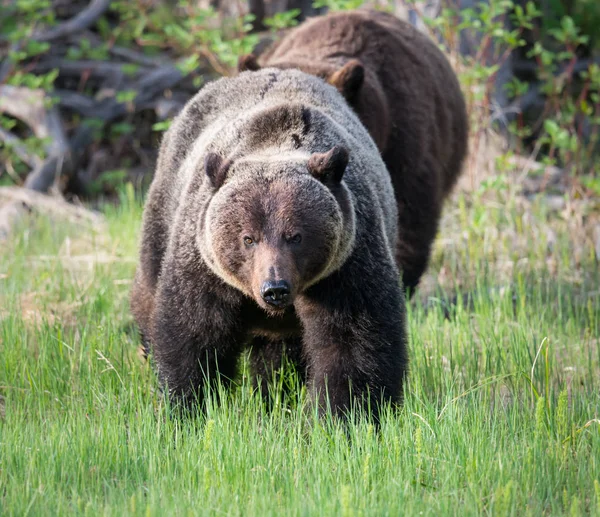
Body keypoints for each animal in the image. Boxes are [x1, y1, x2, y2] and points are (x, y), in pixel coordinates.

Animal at [131, 67, 408, 420]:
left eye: (296, 236)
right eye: (247, 238)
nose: (274, 288)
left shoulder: (347, 264)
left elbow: (354, 341)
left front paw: (347, 414)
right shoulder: (204, 268)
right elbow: (193, 334)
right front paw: (186, 405)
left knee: (278, 356)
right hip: (163, 214)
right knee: (149, 291)